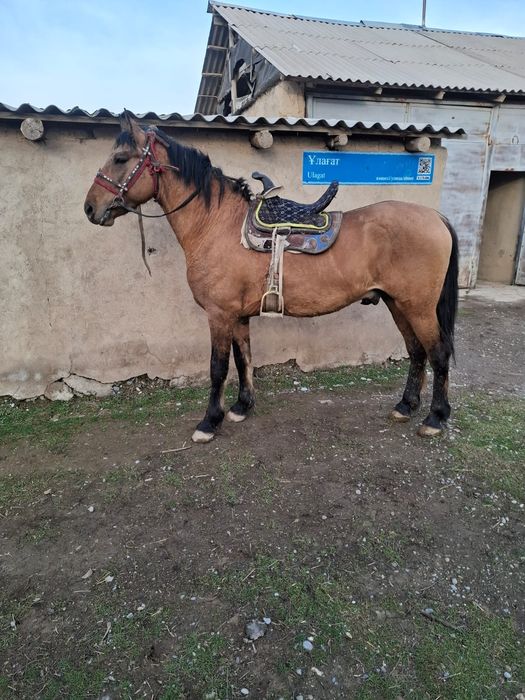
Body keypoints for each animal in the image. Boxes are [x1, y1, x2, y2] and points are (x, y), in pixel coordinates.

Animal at [84, 113, 458, 444]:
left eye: (120, 158)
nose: (90, 208)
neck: (216, 225)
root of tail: (435, 217)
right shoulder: (237, 316)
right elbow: (243, 359)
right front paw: (241, 406)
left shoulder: (219, 315)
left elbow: (218, 368)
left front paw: (209, 422)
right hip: (398, 303)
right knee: (416, 352)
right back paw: (405, 406)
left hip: (418, 307)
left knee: (437, 353)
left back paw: (435, 418)